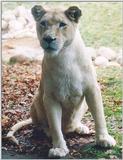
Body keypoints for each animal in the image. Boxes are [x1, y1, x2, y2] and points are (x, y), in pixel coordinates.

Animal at [6, 4, 116, 158]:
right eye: (43, 23)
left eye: (62, 24)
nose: (48, 38)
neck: (64, 55)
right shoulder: (50, 97)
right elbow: (55, 125)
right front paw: (59, 148)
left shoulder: (92, 89)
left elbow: (99, 116)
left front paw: (104, 139)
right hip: (36, 98)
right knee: (42, 125)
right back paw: (47, 131)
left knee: (73, 124)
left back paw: (80, 127)